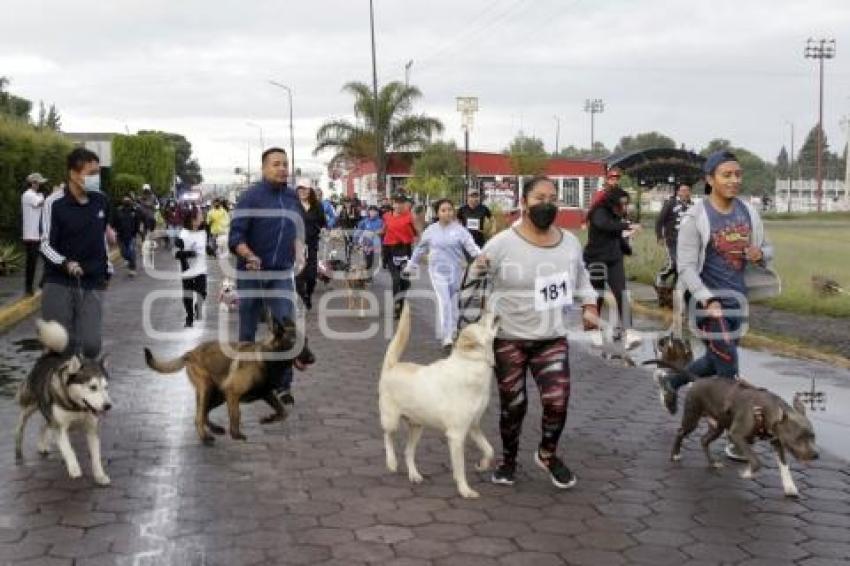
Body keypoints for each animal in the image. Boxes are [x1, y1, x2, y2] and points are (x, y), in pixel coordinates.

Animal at [15, 322, 113, 486]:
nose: (107, 406)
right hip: (29, 405)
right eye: (92, 387)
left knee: (44, 424)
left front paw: (100, 475)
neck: (76, 406)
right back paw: (18, 453)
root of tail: (48, 355)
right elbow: (68, 449)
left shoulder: (91, 428)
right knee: (20, 427)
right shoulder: (60, 428)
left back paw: (42, 445)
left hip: (47, 413)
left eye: (106, 387)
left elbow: (96, 456)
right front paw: (74, 468)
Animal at [144, 320, 314, 444]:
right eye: (294, 342)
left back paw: (214, 429)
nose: (313, 359)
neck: (268, 358)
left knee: (203, 413)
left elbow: (283, 412)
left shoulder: (266, 393)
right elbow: (236, 415)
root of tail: (190, 352)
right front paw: (236, 434)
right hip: (209, 390)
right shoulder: (233, 393)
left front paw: (268, 419)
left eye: (306, 341)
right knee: (199, 417)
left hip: (217, 395)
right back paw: (205, 437)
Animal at [378, 304, 496, 500]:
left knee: (408, 452)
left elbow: (489, 450)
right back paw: (391, 462)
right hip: (391, 420)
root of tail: (392, 365)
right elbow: (460, 468)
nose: (487, 310)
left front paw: (482, 465)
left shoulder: (473, 426)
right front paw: (465, 490)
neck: (472, 364)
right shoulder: (456, 436)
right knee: (387, 437)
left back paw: (414, 475)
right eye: (480, 322)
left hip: (417, 427)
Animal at [644, 362, 820, 500]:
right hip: (692, 418)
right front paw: (747, 473)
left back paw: (712, 462)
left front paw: (790, 487)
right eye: (798, 437)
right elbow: (756, 461)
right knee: (680, 431)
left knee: (704, 440)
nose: (815, 455)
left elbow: (784, 466)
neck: (764, 410)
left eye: (813, 437)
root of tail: (699, 379)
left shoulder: (777, 442)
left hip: (717, 426)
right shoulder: (737, 435)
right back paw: (675, 454)